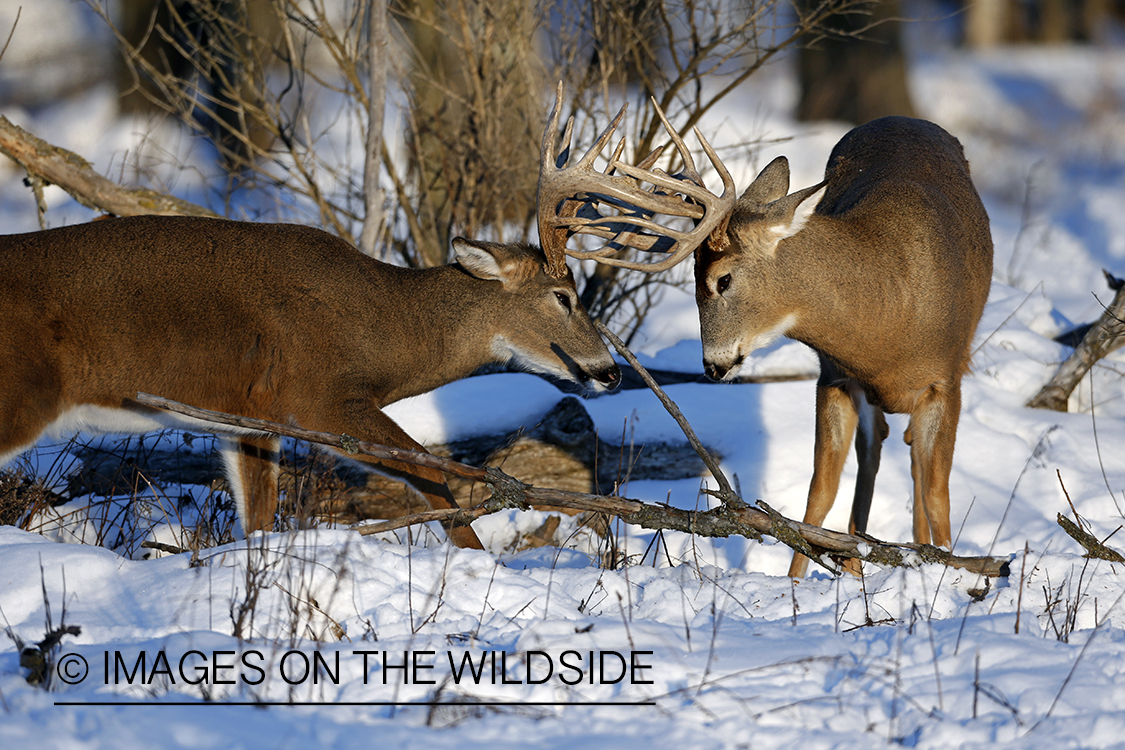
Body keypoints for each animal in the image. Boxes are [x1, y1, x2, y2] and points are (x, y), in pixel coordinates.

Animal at [544, 102, 994, 580]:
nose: (713, 365)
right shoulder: (834, 377)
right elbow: (819, 494)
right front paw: (798, 580)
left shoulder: (945, 382)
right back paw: (859, 558)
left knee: (912, 467)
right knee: (873, 458)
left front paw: (950, 570)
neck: (890, 309)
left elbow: (938, 497)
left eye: (723, 279)